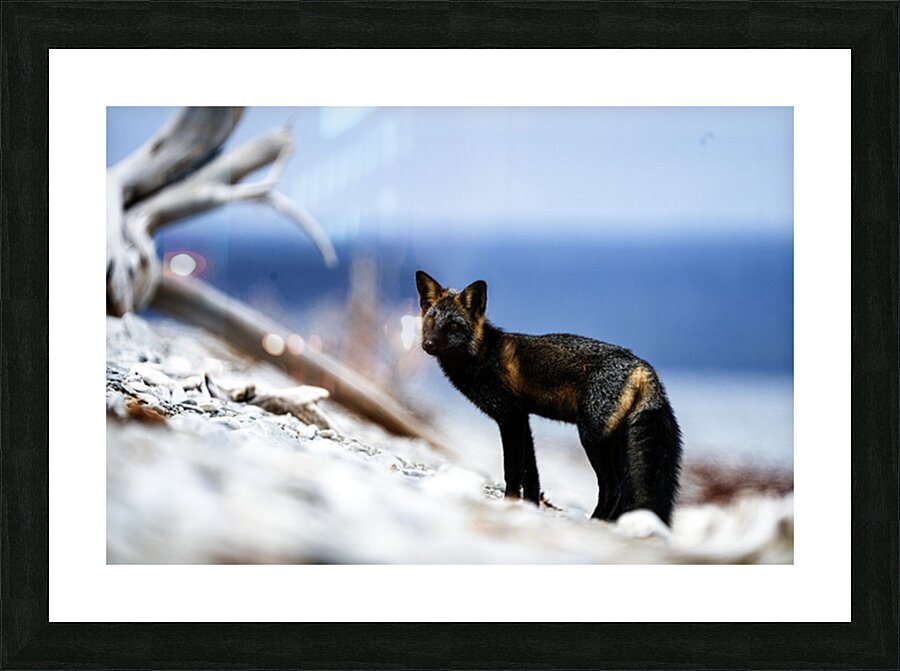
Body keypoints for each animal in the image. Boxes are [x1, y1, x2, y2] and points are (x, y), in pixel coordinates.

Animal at [415, 270, 683, 526]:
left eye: (453, 325)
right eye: (431, 319)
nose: (428, 344)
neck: (484, 355)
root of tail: (641, 365)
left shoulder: (510, 418)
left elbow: (512, 470)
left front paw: (509, 503)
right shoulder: (523, 418)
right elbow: (531, 474)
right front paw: (529, 508)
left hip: (592, 438)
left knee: (613, 489)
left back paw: (596, 521)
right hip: (614, 442)